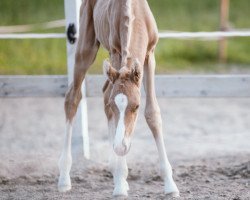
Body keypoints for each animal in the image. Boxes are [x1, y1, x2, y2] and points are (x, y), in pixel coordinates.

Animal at [58, 0, 180, 197]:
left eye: (136, 106)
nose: (120, 148)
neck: (133, 12)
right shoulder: (116, 52)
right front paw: (120, 185)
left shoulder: (150, 55)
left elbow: (153, 113)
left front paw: (170, 186)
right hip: (86, 46)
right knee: (73, 97)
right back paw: (64, 179)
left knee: (105, 91)